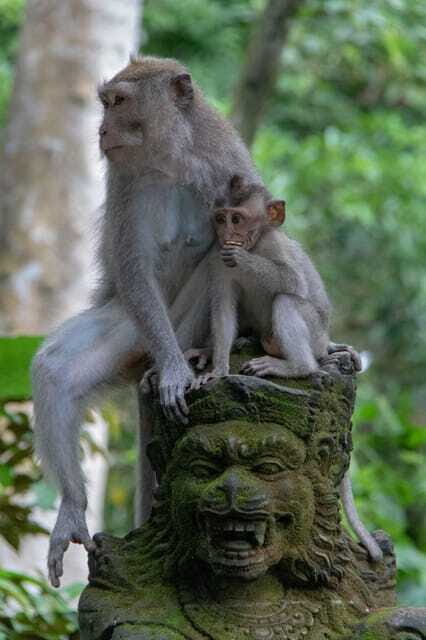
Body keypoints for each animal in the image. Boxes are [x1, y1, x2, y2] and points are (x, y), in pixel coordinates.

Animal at [31, 56, 261, 587]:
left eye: (118, 102)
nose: (101, 130)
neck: (170, 158)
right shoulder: (124, 180)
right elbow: (134, 266)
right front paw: (175, 371)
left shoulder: (228, 162)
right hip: (136, 329)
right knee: (55, 371)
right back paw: (73, 507)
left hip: (179, 322)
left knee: (212, 269)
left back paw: (196, 355)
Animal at [189, 175, 383, 563]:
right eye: (221, 218)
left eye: (238, 219)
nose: (226, 235)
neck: (256, 241)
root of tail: (322, 348)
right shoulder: (216, 260)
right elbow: (223, 308)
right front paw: (218, 367)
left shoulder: (274, 245)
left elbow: (292, 282)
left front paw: (243, 258)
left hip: (313, 334)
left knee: (287, 300)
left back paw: (295, 366)